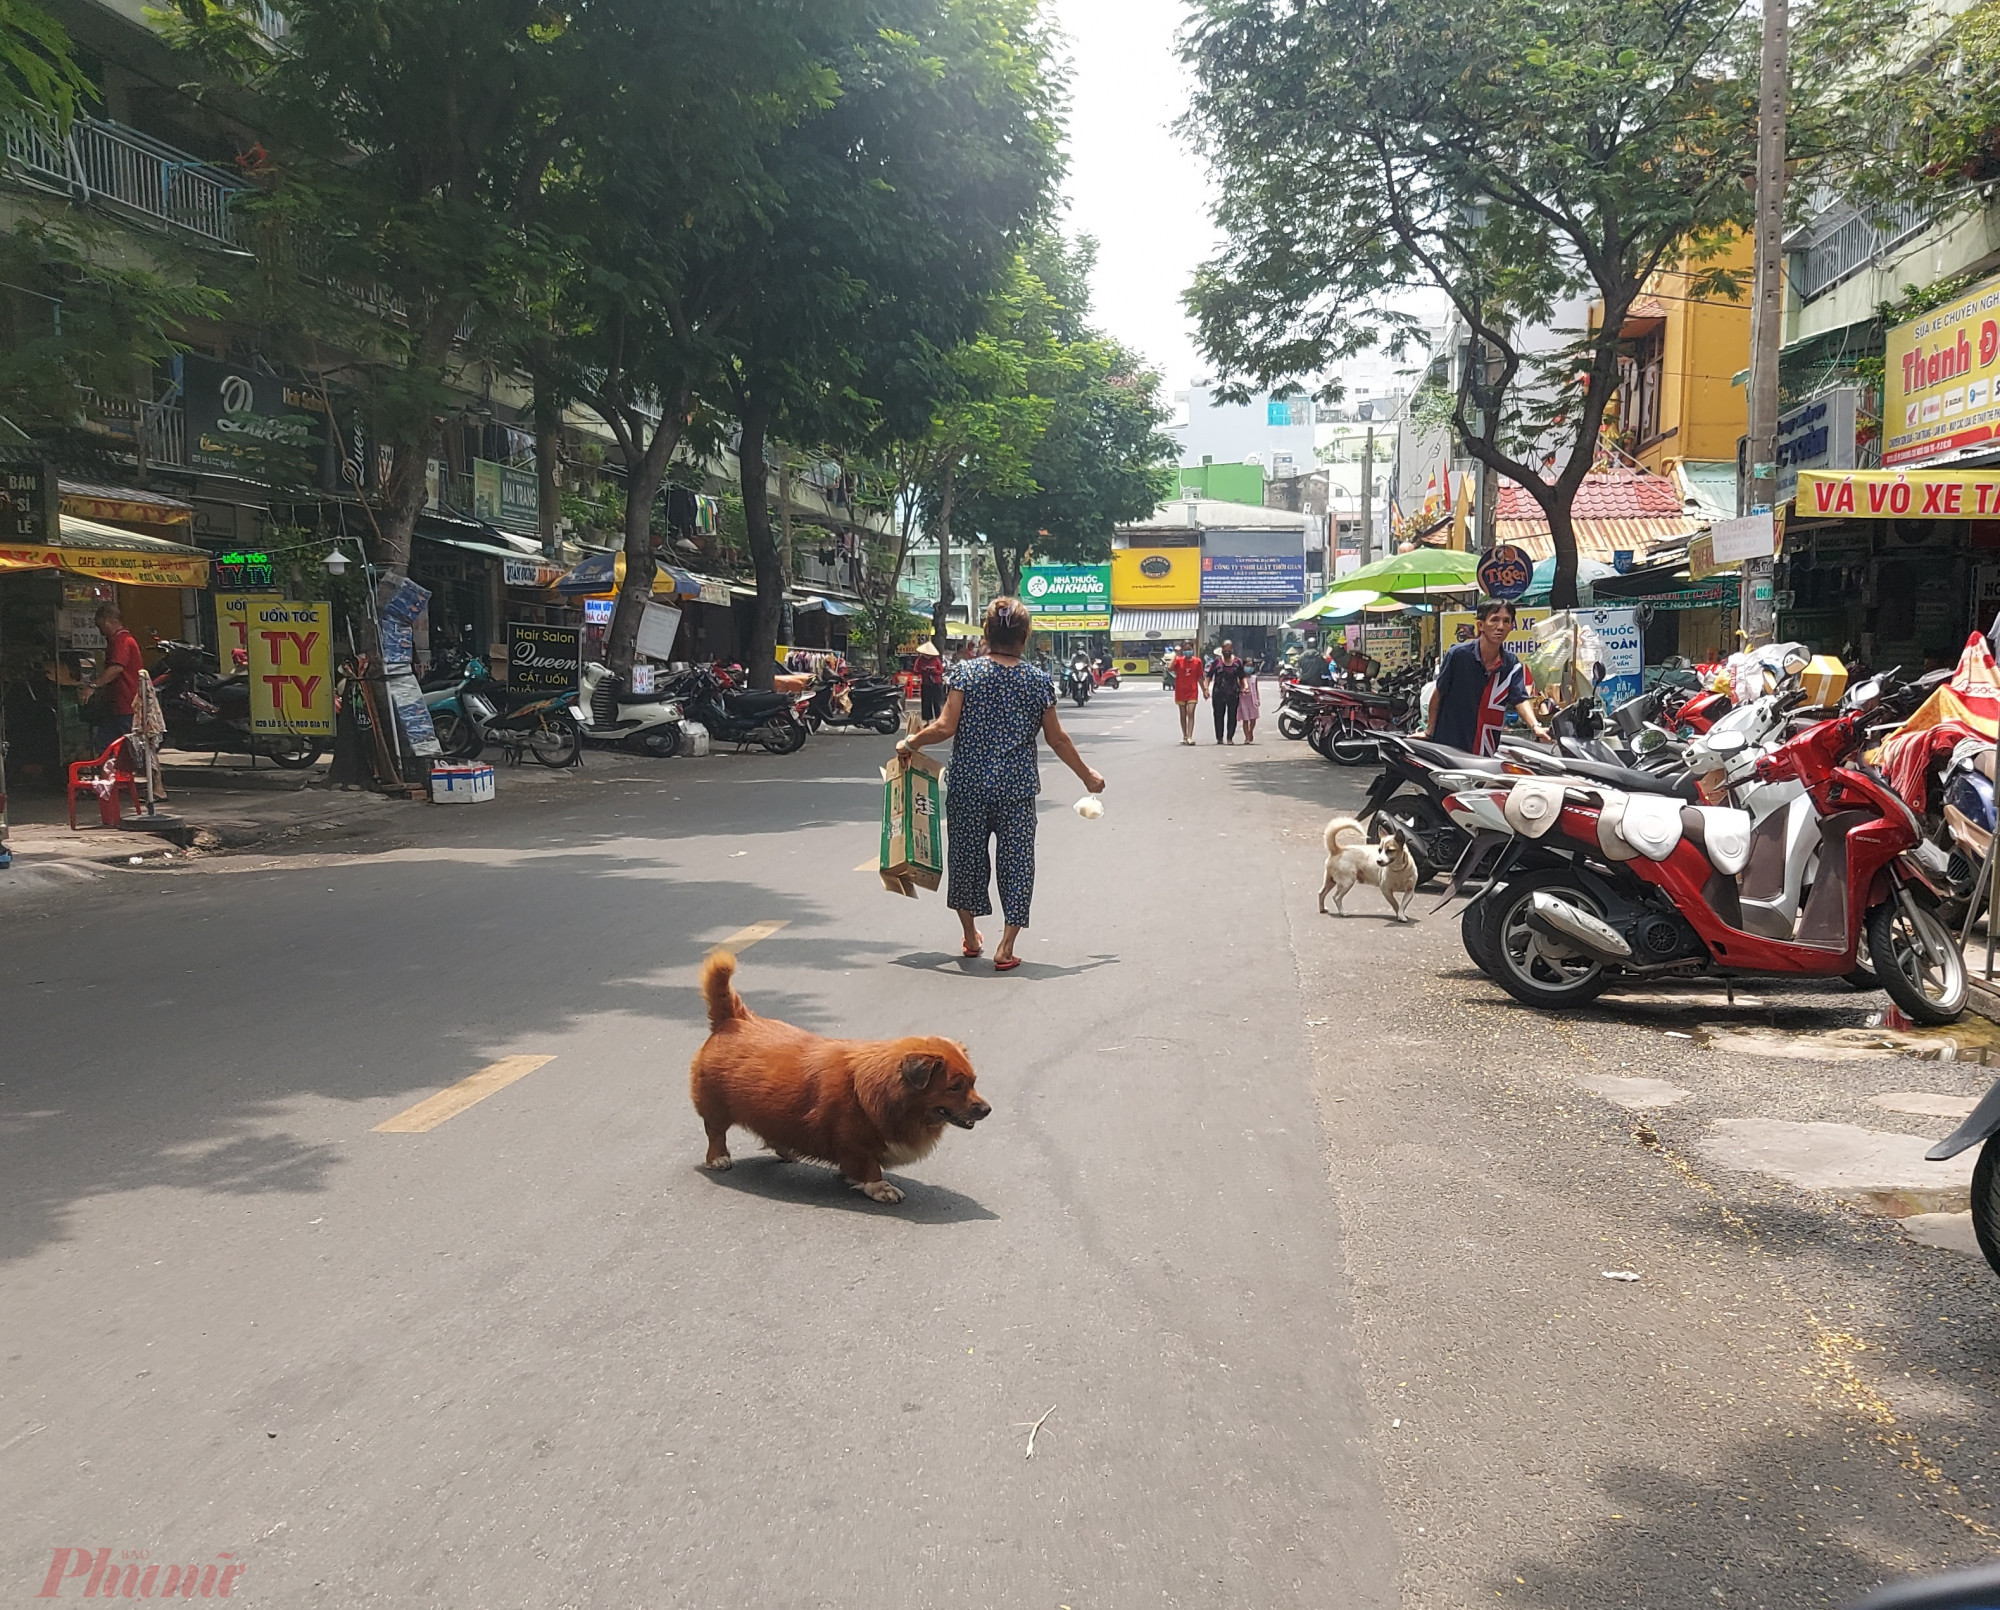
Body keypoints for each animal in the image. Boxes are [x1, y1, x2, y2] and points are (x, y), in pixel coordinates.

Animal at [688, 948, 992, 1200]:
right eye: (955, 1087)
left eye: (974, 1082)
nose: (987, 1110)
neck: (878, 1092)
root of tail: (733, 1019)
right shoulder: (855, 1144)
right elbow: (869, 1169)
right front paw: (880, 1188)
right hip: (716, 1108)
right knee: (715, 1133)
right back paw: (719, 1158)